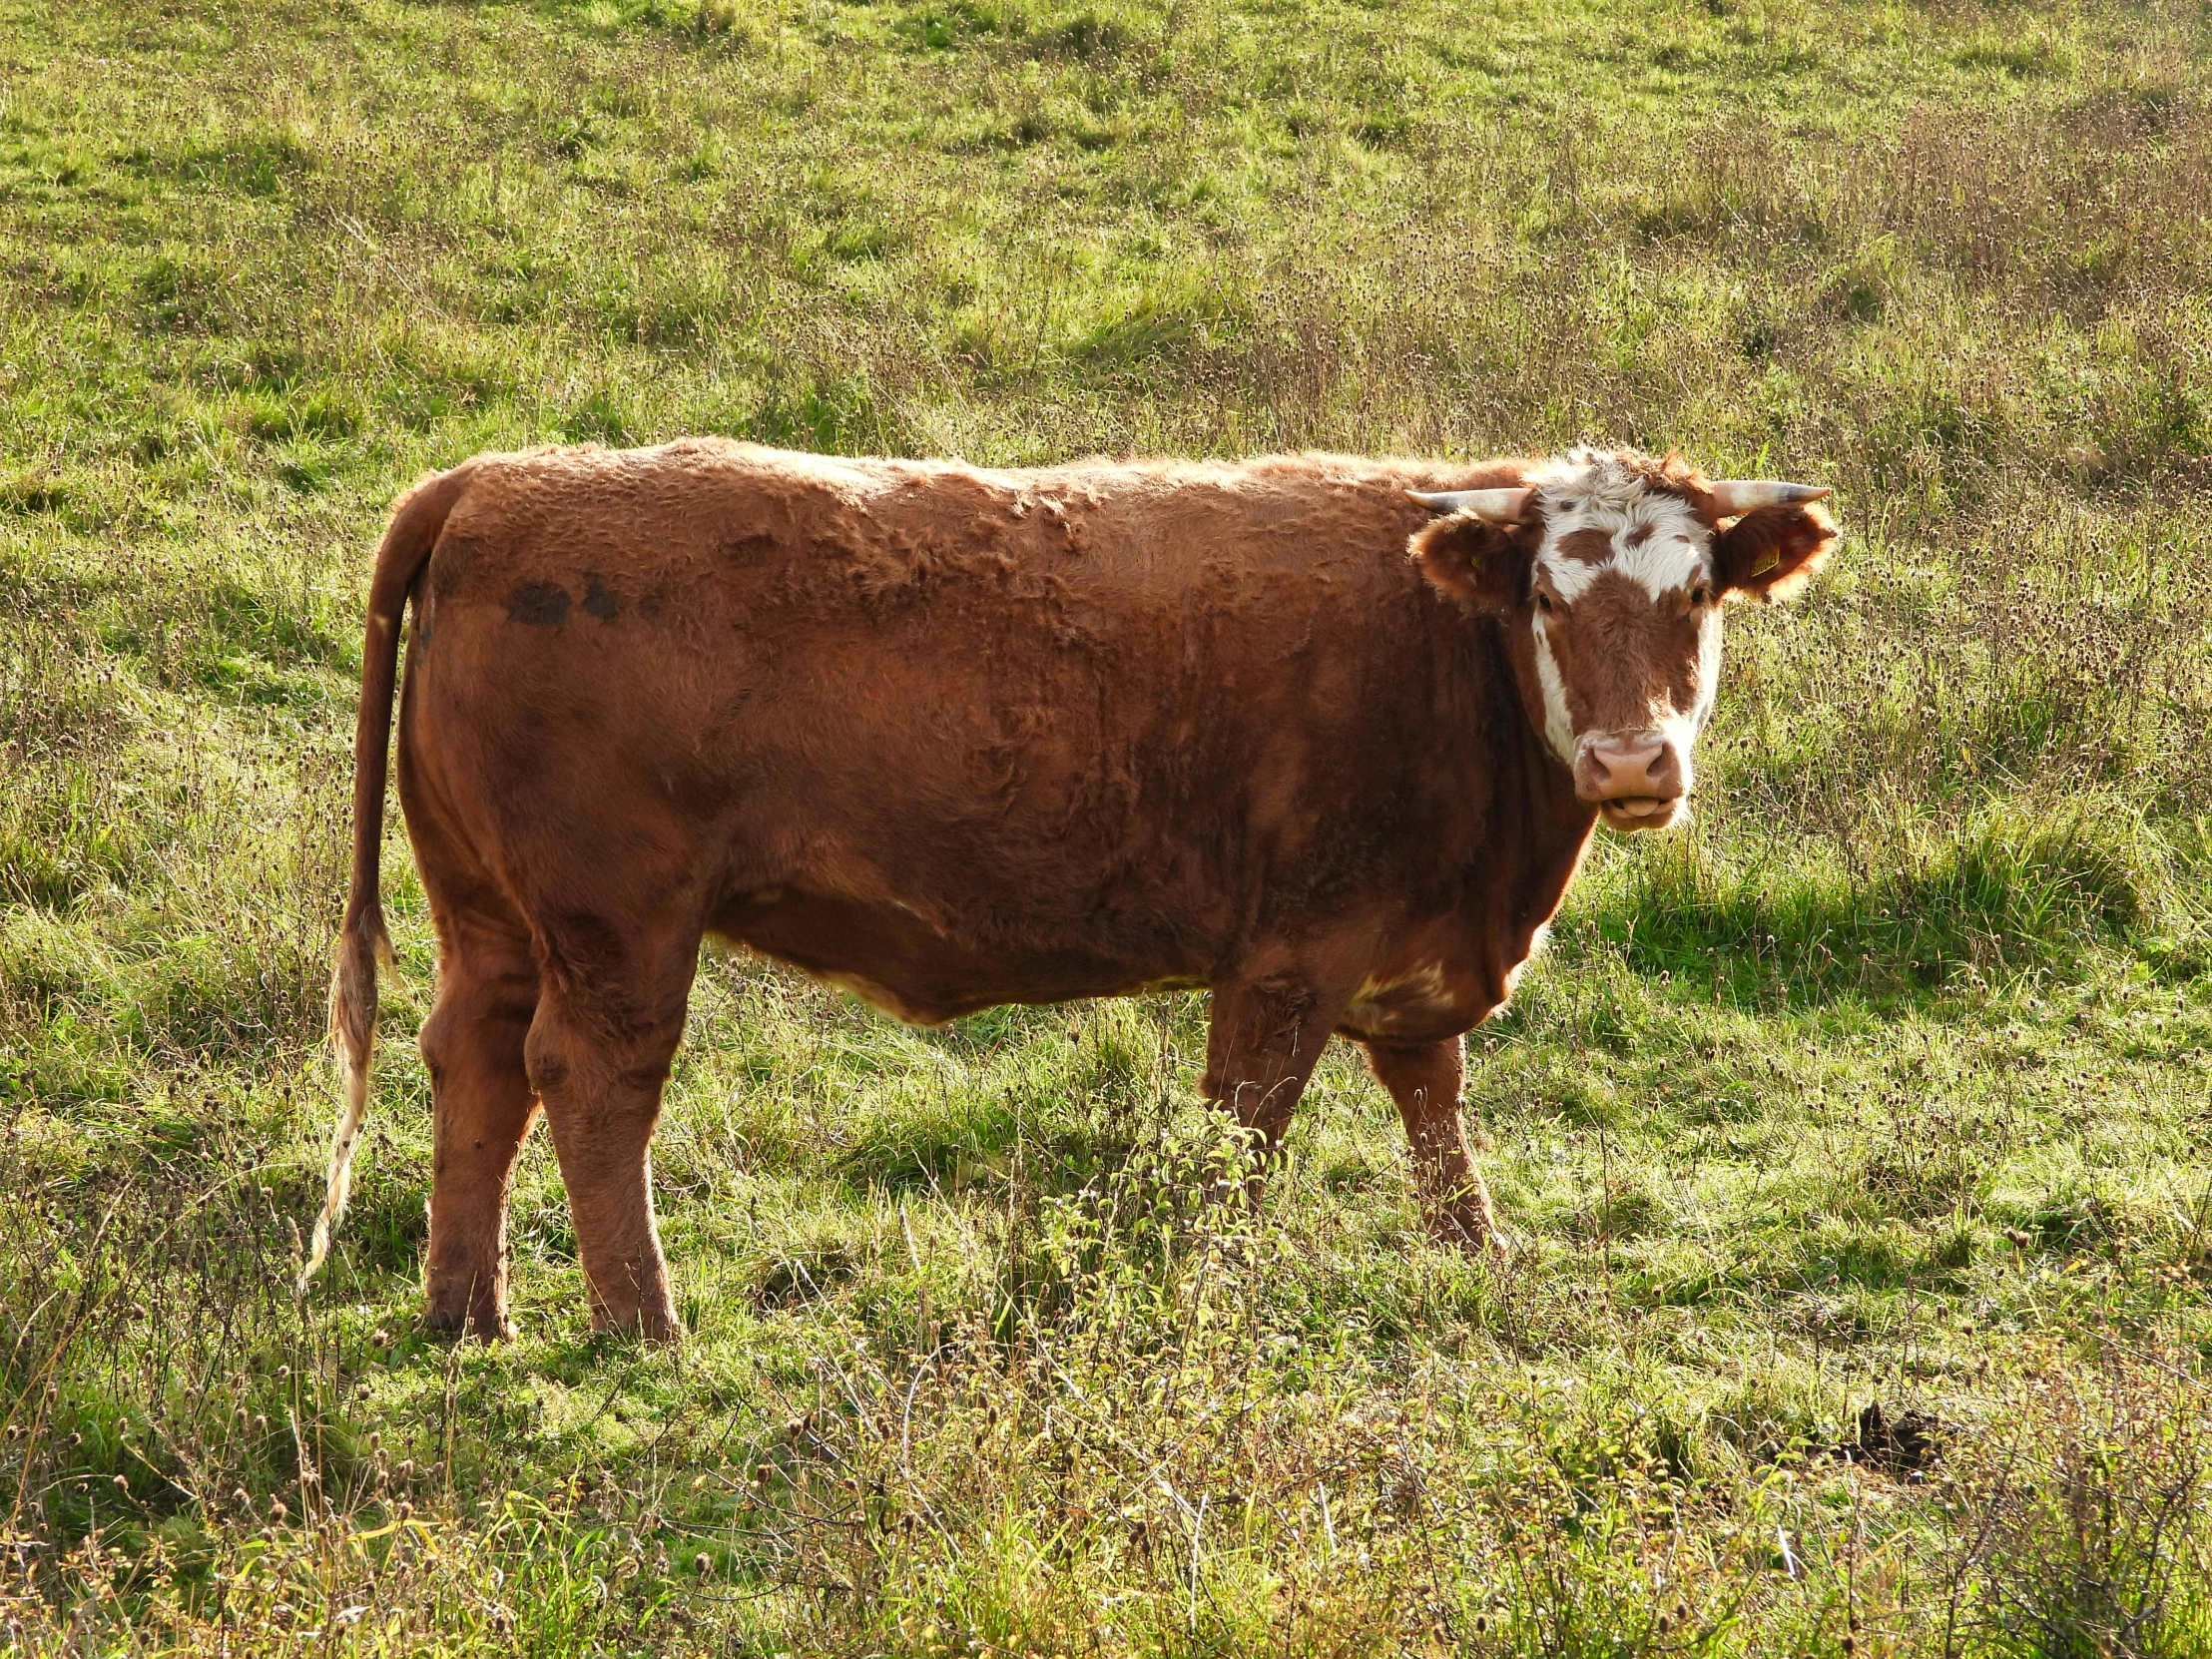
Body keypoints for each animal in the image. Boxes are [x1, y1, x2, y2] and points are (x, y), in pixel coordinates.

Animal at [307, 437, 1831, 1336]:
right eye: (1549, 601)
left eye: (1693, 598)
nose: (1633, 760)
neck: (1438, 635)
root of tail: (493, 479)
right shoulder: (1287, 960)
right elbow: (1242, 1140)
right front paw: (1216, 1288)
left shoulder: (1412, 950)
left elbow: (1432, 1104)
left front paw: (1474, 1255)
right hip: (618, 925)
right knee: (590, 1081)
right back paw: (643, 1321)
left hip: (492, 916)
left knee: (476, 1065)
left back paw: (466, 1310)